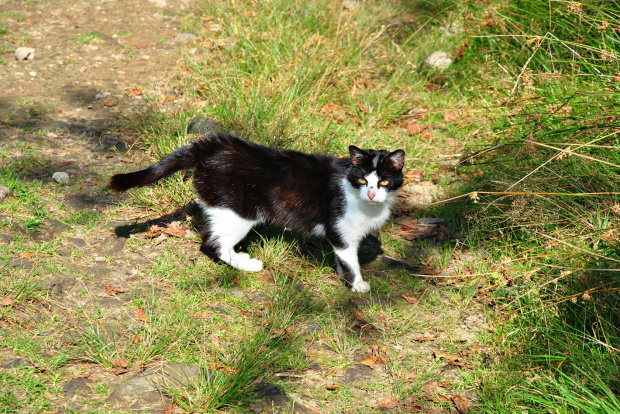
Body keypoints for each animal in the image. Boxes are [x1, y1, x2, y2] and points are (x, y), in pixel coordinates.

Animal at [109, 132, 405, 293]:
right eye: (363, 180)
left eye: (384, 183)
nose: (371, 194)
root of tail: (211, 146)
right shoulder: (341, 229)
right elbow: (350, 260)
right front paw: (357, 285)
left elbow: (342, 259)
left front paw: (343, 275)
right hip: (239, 211)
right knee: (210, 243)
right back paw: (248, 264)